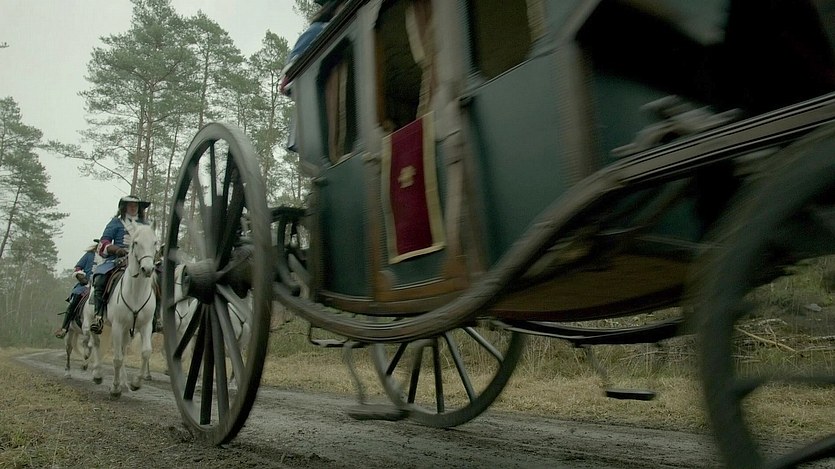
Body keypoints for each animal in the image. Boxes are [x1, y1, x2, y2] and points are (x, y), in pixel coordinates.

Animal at [83, 223, 158, 398]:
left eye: (155, 242)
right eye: (136, 242)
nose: (147, 269)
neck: (136, 292)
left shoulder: (145, 326)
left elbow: (146, 352)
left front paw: (136, 383)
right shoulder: (117, 326)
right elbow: (117, 359)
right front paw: (115, 389)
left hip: (126, 331)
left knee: (122, 350)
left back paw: (124, 382)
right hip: (94, 322)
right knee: (96, 344)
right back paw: (98, 374)